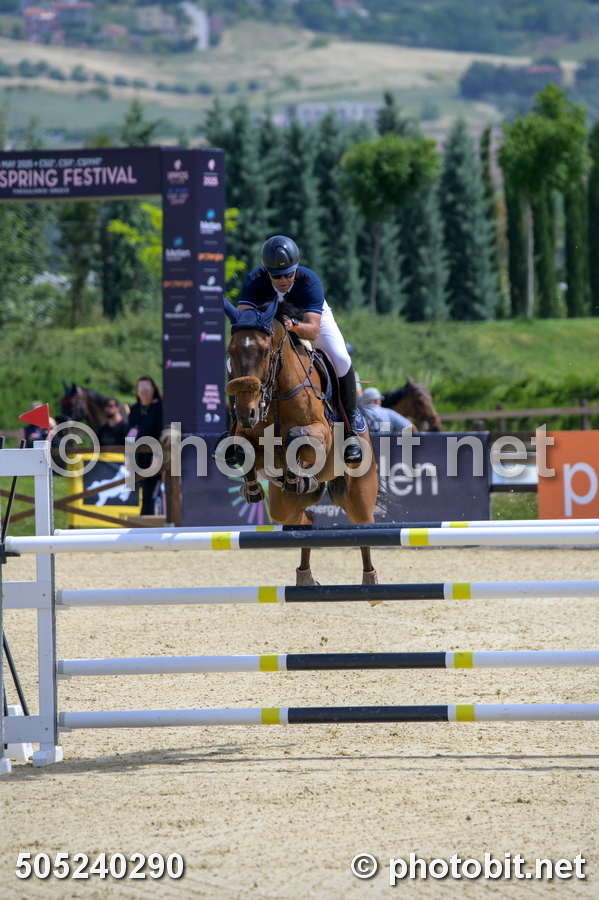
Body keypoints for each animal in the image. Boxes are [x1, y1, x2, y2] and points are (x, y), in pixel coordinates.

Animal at [223, 297, 379, 586]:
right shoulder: (249, 438)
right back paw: (305, 575)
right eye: (231, 351)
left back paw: (370, 580)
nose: (247, 412)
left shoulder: (321, 435)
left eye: (265, 352)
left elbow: (296, 437)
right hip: (284, 506)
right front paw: (253, 489)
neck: (276, 396)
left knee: (363, 528)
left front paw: (295, 473)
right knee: (304, 522)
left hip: (359, 496)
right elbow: (241, 450)